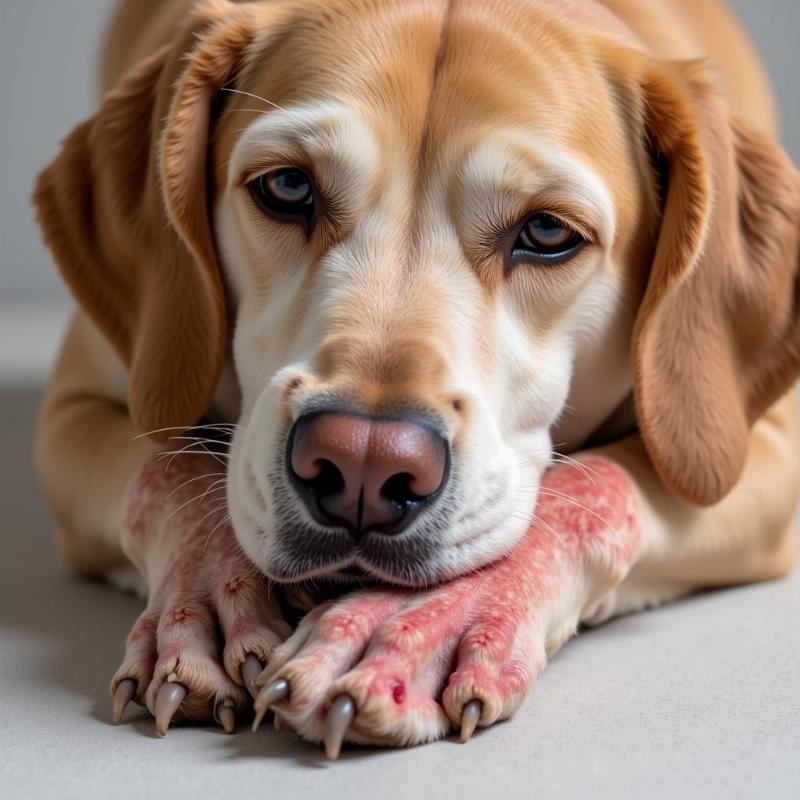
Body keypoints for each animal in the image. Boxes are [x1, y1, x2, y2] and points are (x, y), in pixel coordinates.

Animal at [32, 0, 800, 756]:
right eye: (287, 186)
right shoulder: (73, 412)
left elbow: (597, 486)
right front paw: (211, 597)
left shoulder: (762, 445)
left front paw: (419, 621)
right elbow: (170, 468)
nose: (363, 464)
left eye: (549, 232)